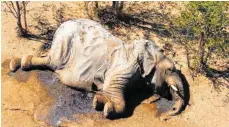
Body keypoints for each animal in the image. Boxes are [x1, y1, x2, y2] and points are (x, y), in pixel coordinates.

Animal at [10, 18, 186, 118]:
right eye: (170, 70)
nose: (168, 114)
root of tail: (62, 24)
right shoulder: (126, 66)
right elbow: (113, 89)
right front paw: (105, 108)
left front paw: (99, 100)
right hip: (64, 43)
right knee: (52, 62)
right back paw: (17, 64)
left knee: (48, 60)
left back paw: (17, 63)